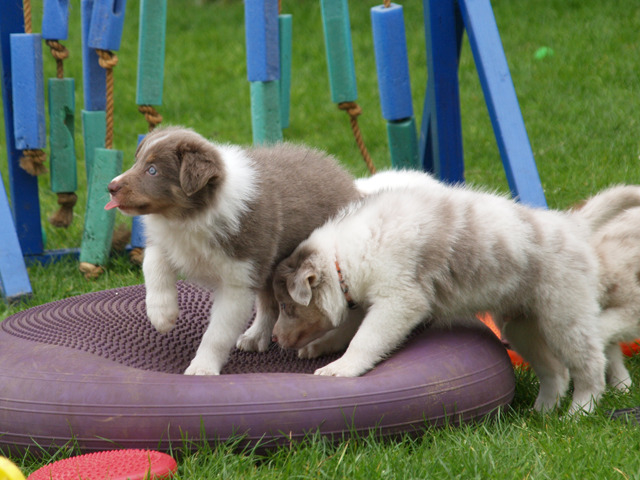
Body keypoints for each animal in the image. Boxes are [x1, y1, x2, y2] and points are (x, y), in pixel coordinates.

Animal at [105, 126, 360, 375]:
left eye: (152, 170)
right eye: (136, 161)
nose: (110, 186)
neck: (189, 218)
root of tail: (345, 177)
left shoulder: (238, 279)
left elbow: (217, 333)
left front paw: (202, 367)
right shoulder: (165, 241)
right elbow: (154, 267)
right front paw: (162, 315)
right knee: (269, 302)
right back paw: (256, 336)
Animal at [272, 171, 609, 414]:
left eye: (287, 308)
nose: (274, 337)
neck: (342, 257)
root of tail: (575, 227)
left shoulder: (399, 299)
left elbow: (364, 340)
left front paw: (340, 369)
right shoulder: (365, 298)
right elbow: (347, 330)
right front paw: (319, 347)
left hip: (564, 314)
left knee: (591, 365)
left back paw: (579, 412)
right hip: (520, 325)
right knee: (556, 371)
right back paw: (542, 412)